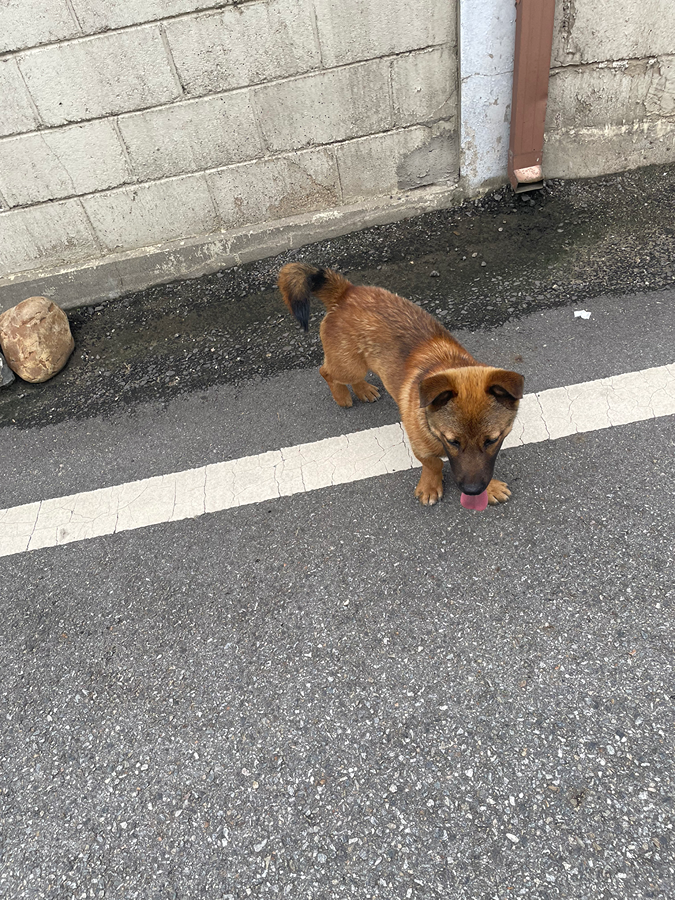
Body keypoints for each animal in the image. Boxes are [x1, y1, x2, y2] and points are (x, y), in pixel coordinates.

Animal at [278, 264, 524, 510]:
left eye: (491, 440)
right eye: (453, 441)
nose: (472, 491)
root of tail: (346, 291)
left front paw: (490, 487)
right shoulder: (419, 446)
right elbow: (433, 464)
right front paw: (431, 485)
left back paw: (363, 390)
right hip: (349, 366)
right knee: (327, 372)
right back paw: (342, 396)